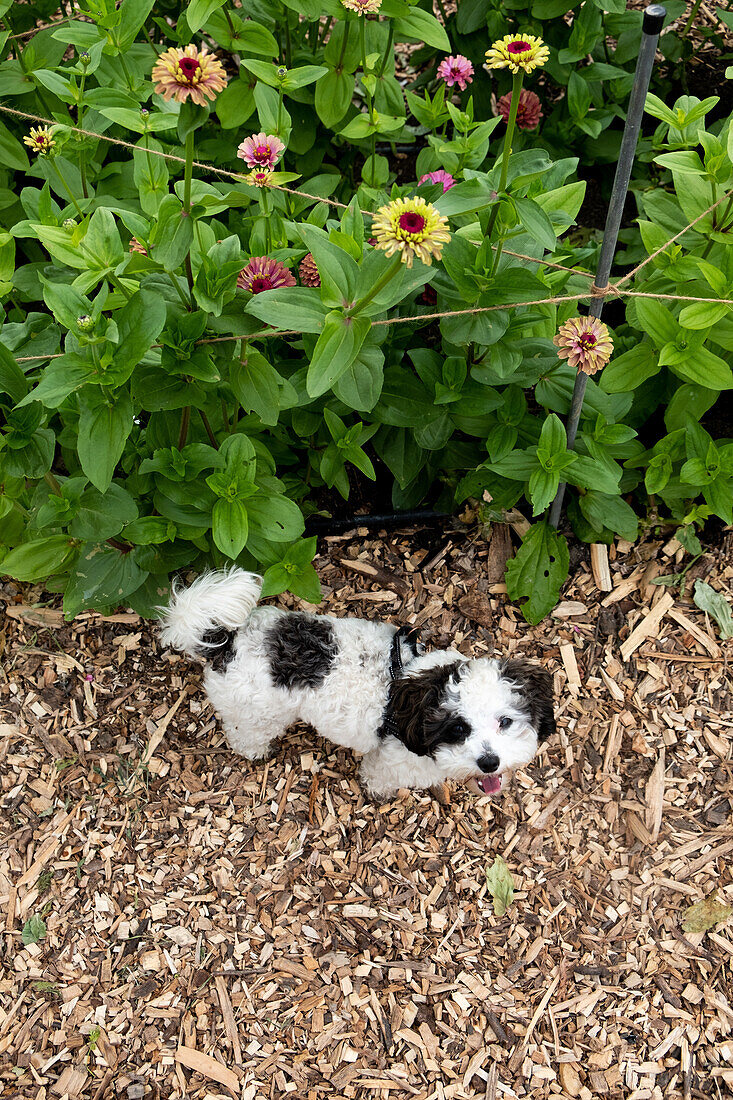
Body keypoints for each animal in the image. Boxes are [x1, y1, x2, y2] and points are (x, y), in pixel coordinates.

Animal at [157, 572, 550, 796]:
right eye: (457, 729)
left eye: (505, 722)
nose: (490, 762)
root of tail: (226, 640)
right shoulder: (392, 760)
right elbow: (379, 777)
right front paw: (378, 792)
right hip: (257, 714)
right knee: (244, 733)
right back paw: (253, 750)